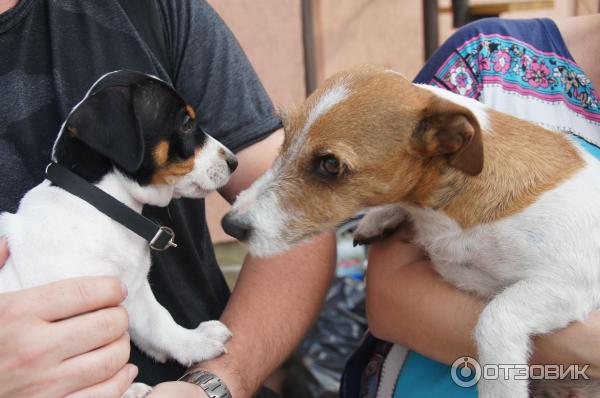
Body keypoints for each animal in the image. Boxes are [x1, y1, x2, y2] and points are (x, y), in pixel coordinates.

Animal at [0, 71, 238, 398]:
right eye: (186, 123)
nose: (234, 162)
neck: (101, 206)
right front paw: (128, 389)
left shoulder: (133, 289)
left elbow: (158, 322)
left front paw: (194, 341)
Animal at [223, 67, 600, 396]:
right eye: (285, 138)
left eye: (330, 164)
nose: (230, 225)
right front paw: (382, 215)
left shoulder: (567, 283)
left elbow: (494, 319)